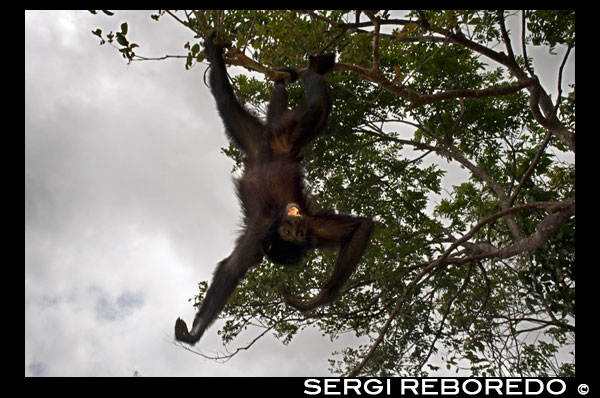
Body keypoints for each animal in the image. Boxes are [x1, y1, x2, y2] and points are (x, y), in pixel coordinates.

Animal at [173, 32, 372, 346]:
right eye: (289, 234)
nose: (295, 226)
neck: (279, 216)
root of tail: (266, 147)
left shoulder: (307, 226)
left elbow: (361, 226)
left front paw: (313, 300)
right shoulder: (262, 241)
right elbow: (231, 269)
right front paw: (195, 333)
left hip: (284, 135)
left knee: (309, 105)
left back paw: (309, 69)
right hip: (258, 138)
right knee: (240, 102)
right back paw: (281, 80)